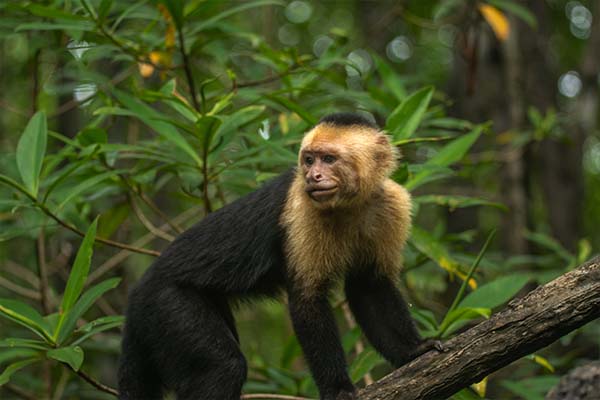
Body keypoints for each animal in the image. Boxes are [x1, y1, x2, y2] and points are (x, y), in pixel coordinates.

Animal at [119, 112, 442, 400]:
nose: (313, 176)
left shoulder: (392, 204)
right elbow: (306, 299)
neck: (349, 204)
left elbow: (370, 287)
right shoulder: (302, 207)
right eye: (309, 159)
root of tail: (137, 292)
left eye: (329, 159)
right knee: (222, 366)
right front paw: (337, 389)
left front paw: (412, 349)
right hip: (165, 303)